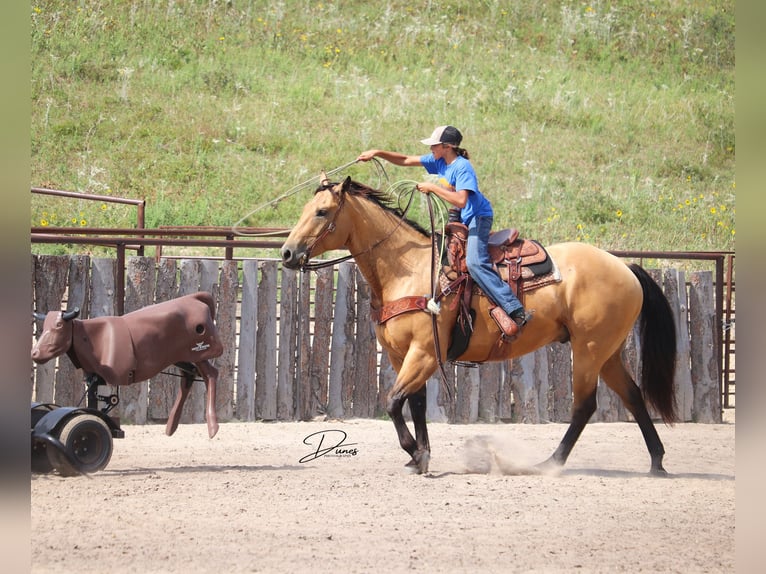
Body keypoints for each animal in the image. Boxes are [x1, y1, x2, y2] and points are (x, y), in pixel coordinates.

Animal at [282, 176, 680, 476]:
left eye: (321, 212)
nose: (287, 253)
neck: (408, 269)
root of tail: (625, 267)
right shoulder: (400, 355)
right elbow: (416, 404)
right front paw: (420, 457)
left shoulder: (425, 353)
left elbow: (394, 402)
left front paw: (414, 452)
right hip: (607, 352)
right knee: (633, 396)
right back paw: (657, 462)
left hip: (589, 350)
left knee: (585, 406)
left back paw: (549, 464)